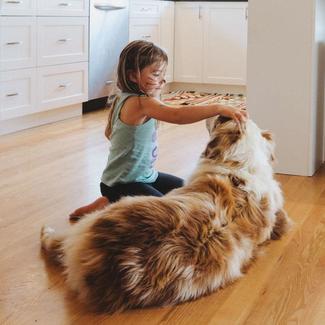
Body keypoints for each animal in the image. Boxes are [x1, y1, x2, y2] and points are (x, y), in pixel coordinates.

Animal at [40, 115, 292, 312]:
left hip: (110, 211)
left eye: (221, 119)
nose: (216, 111)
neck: (241, 164)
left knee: (56, 242)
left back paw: (49, 230)